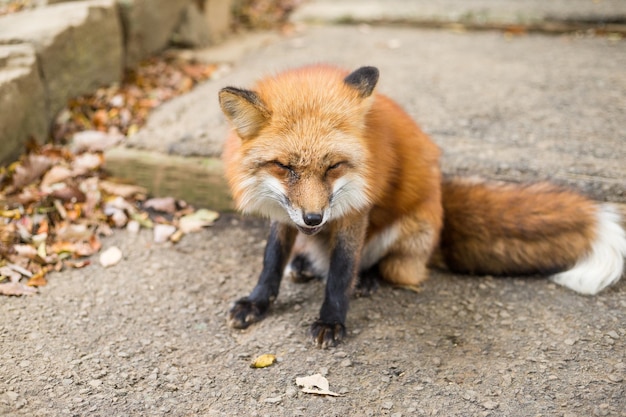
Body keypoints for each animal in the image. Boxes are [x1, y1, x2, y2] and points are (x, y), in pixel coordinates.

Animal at [216, 65, 624, 348]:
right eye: (284, 168)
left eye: (333, 166)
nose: (314, 219)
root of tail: (441, 199)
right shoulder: (285, 212)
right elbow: (271, 260)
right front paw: (256, 303)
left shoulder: (354, 210)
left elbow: (341, 271)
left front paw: (332, 320)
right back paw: (304, 264)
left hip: (406, 235)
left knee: (391, 270)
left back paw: (366, 280)